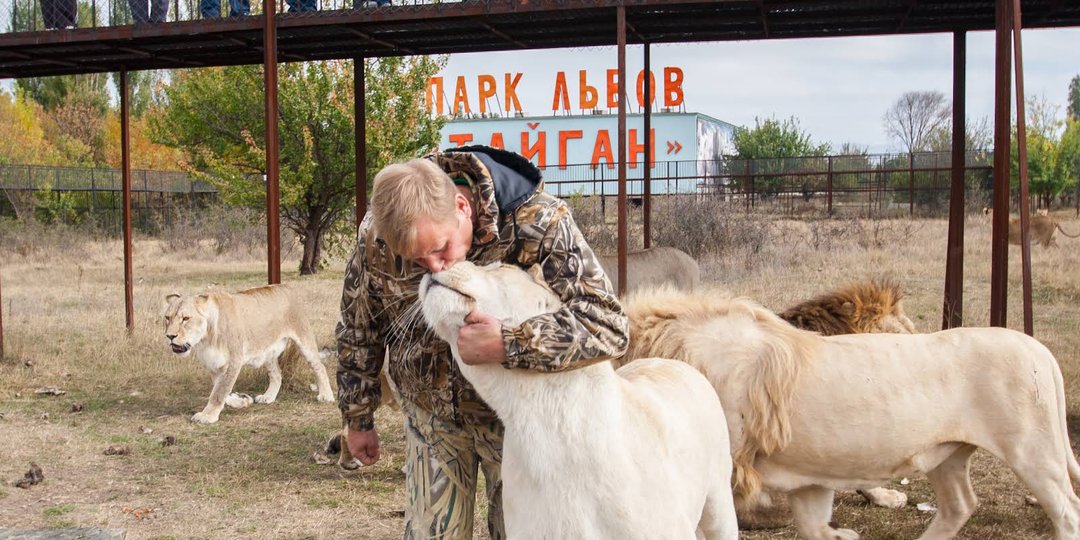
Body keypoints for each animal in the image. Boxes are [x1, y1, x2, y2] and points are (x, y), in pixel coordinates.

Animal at [160, 285, 332, 423]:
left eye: (185, 319)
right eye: (167, 318)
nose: (169, 336)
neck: (205, 338)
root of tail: (287, 287)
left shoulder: (233, 361)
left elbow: (219, 392)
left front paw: (207, 416)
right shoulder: (214, 365)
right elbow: (220, 389)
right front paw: (240, 401)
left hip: (304, 338)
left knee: (320, 367)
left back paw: (326, 396)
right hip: (267, 351)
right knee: (277, 374)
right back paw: (268, 397)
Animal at [617, 287, 1080, 540]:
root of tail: (1041, 351)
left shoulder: (724, 469)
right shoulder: (808, 477)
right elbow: (813, 525)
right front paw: (843, 534)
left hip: (1033, 452)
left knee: (1067, 511)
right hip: (948, 455)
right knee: (960, 506)